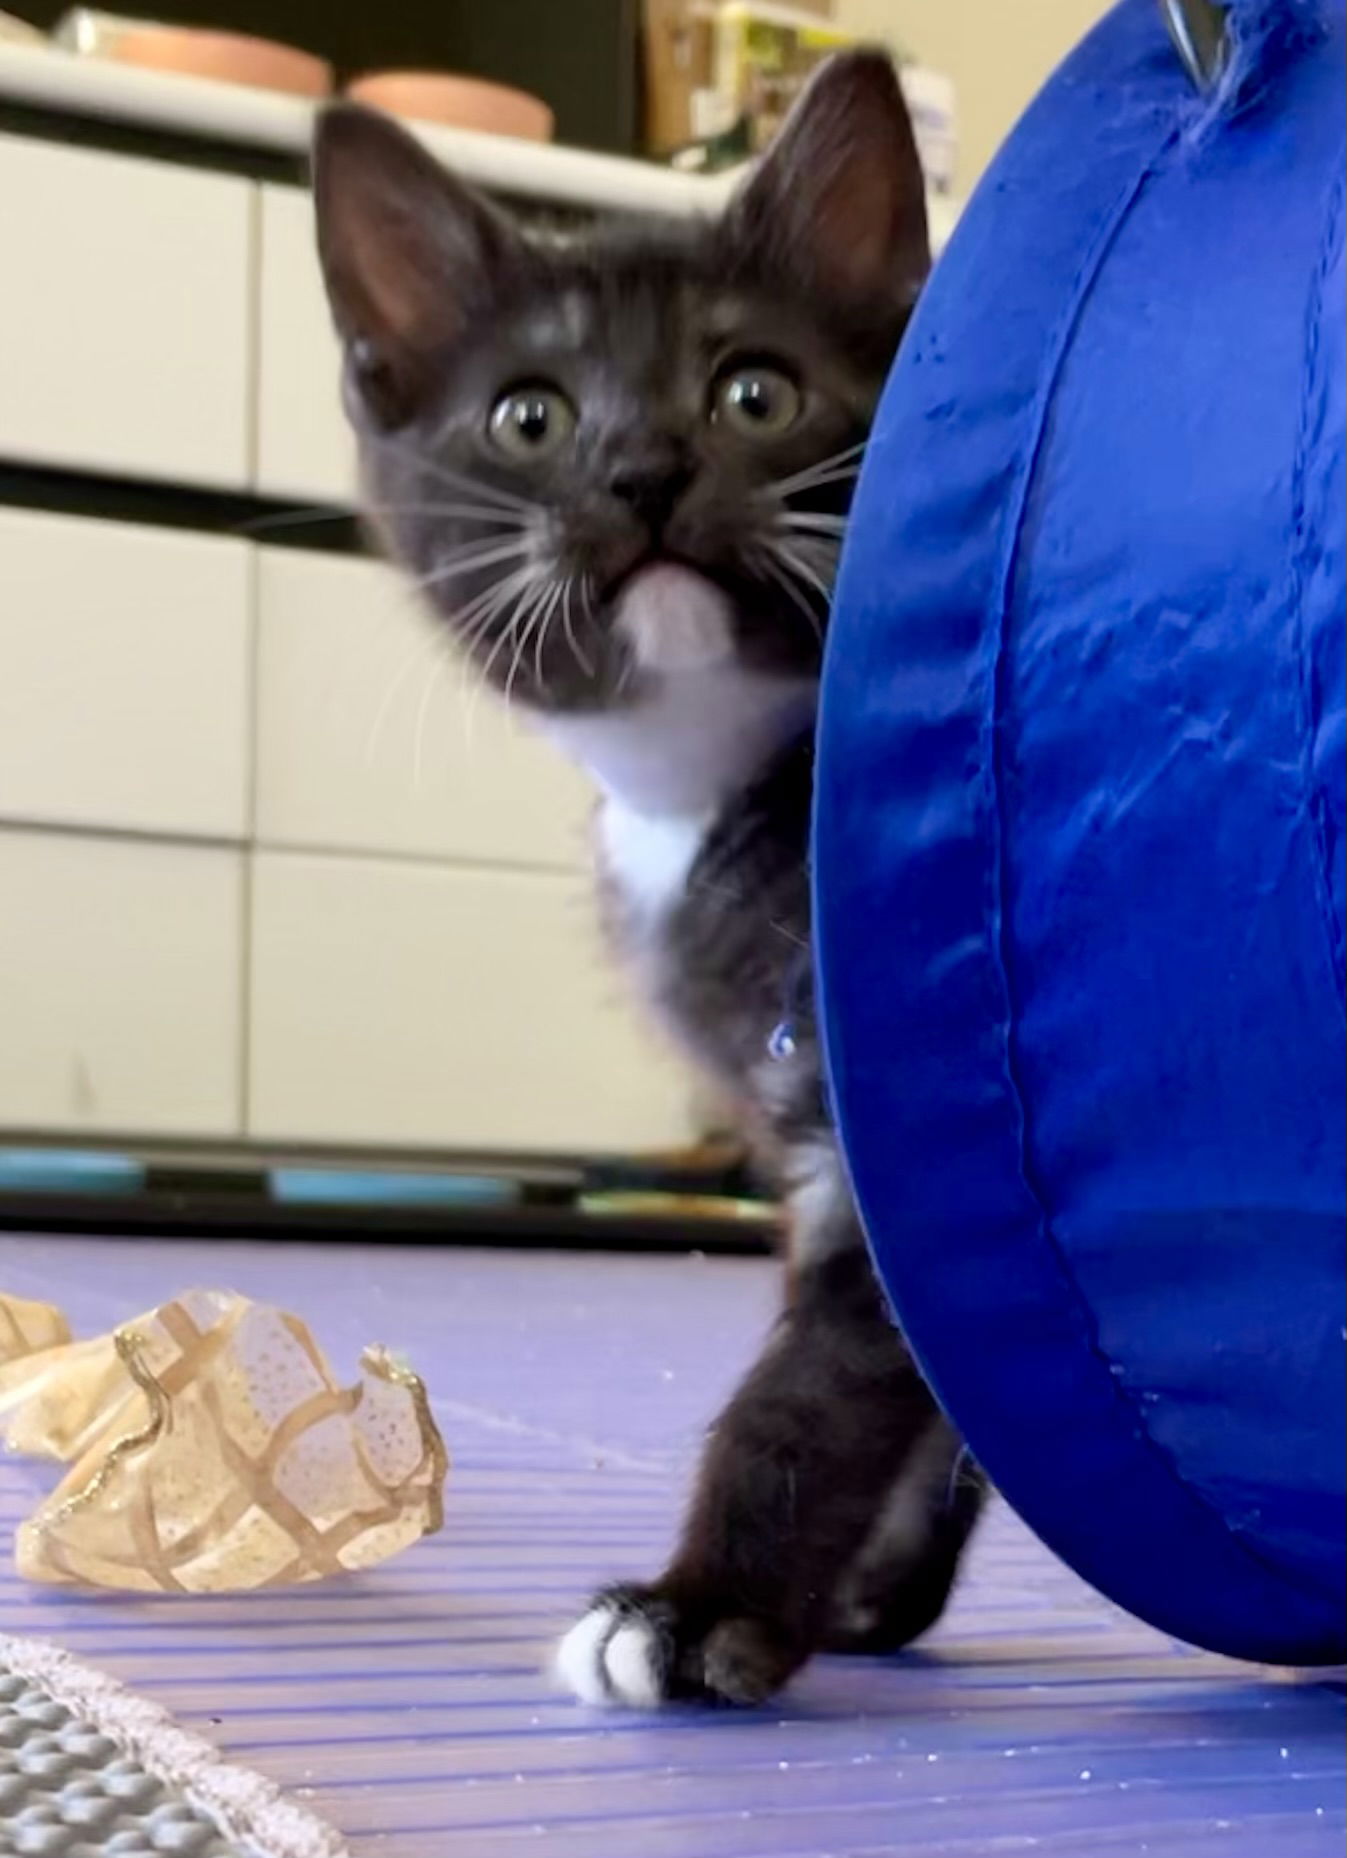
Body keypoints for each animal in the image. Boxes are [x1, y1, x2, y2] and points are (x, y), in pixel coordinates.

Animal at [315, 54, 988, 1709]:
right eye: (527, 414)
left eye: (754, 390)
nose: (639, 472)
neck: (710, 784)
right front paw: (865, 1594)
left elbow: (830, 1366)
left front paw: (697, 1611)